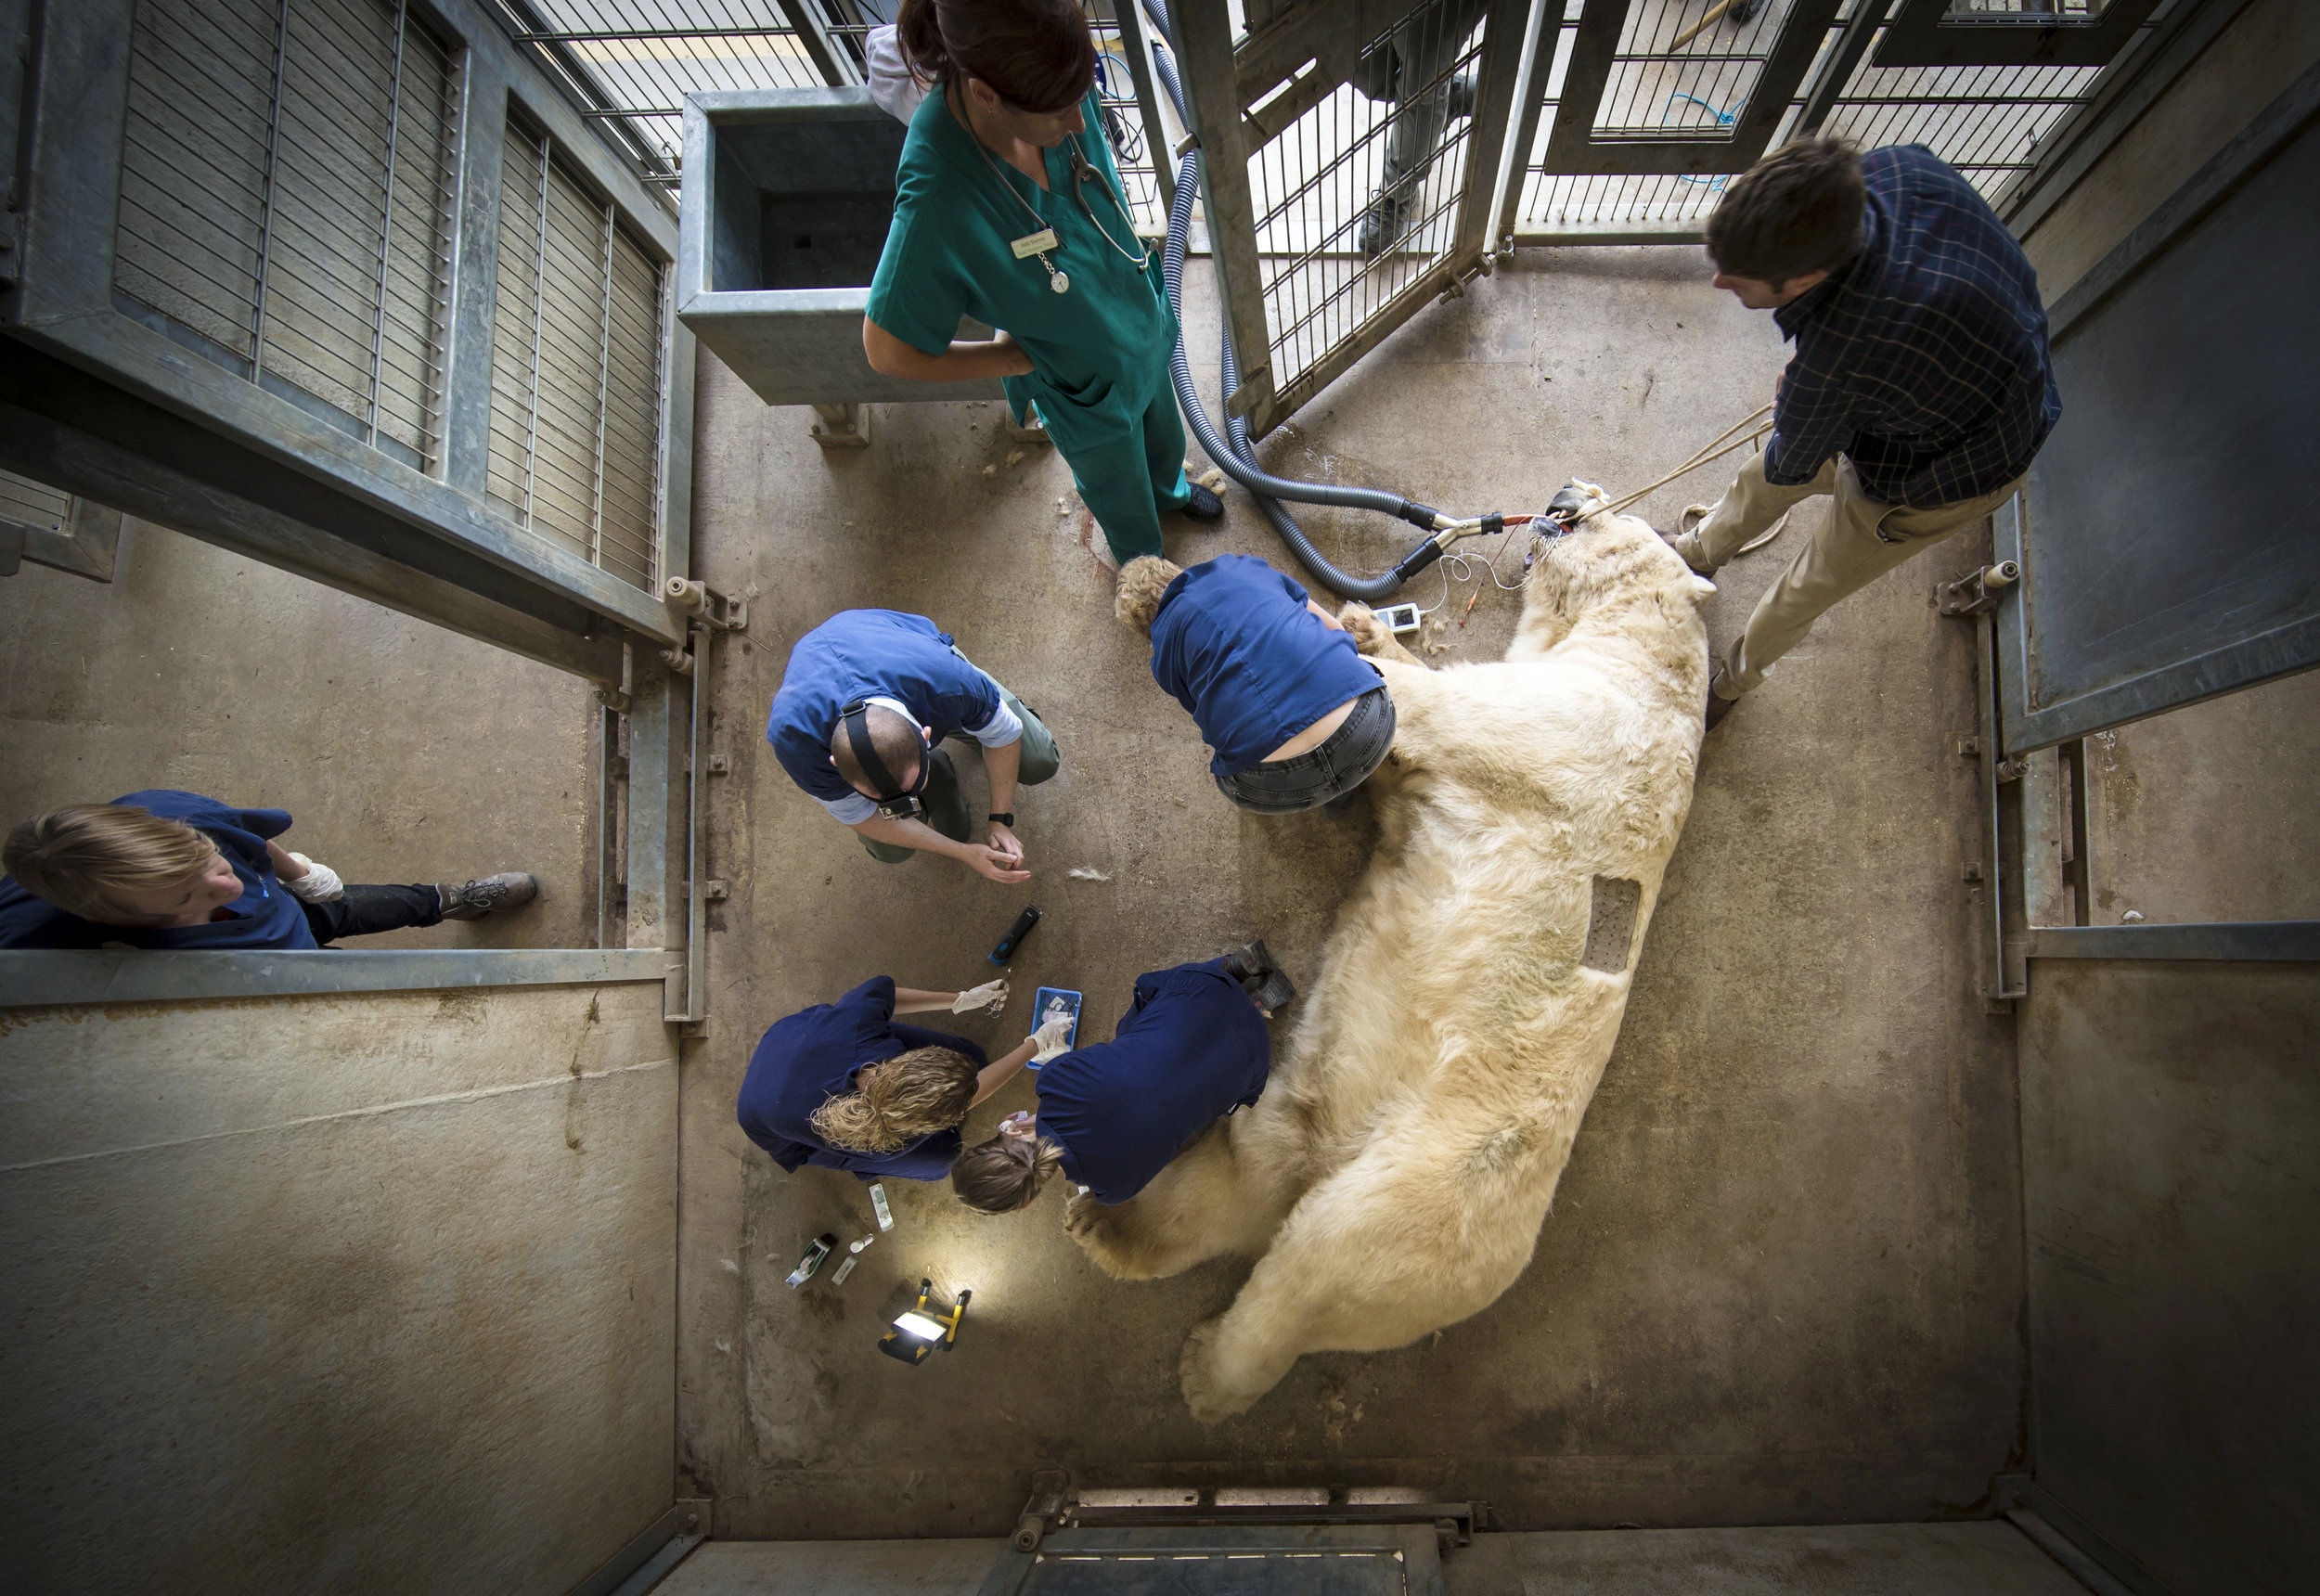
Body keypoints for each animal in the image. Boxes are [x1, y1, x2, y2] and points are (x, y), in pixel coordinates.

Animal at [1063, 487, 1708, 1420]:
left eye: (1603, 513)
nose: (1563, 496)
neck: (1653, 662)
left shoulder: (1590, 729)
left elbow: (1443, 711)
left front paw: (1347, 632)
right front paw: (1374, 623)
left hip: (1429, 1188)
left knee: (1306, 1267)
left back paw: (1203, 1369)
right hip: (1311, 1110)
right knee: (1248, 1172)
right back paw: (1108, 1226)